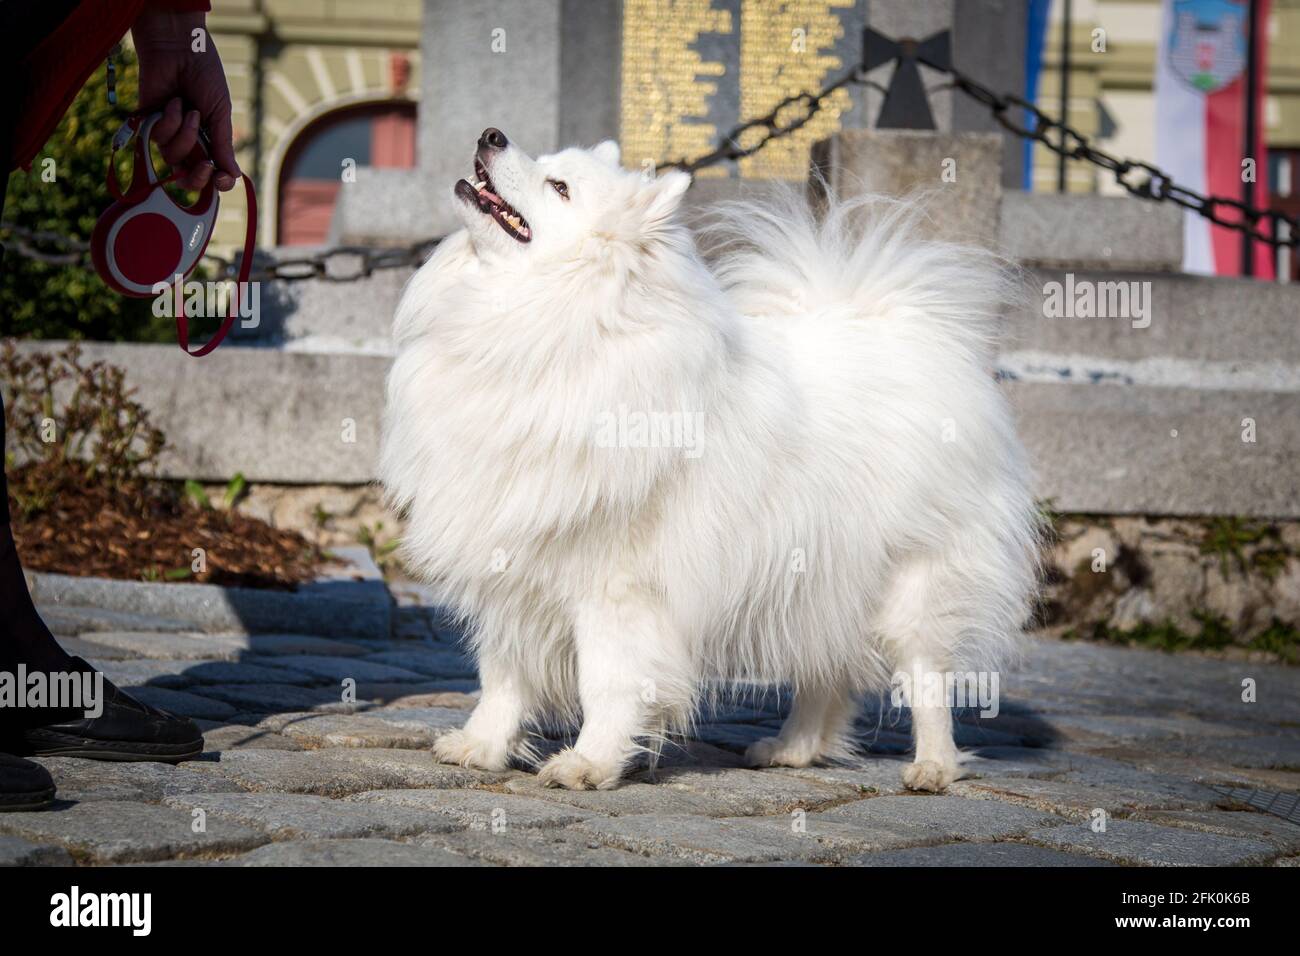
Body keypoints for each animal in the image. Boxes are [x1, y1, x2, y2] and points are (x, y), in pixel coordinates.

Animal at [379, 130, 1040, 796]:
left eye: (559, 186)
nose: (491, 135)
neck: (546, 324)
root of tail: (907, 333)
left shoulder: (616, 587)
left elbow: (607, 682)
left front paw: (590, 763)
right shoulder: (511, 571)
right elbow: (503, 677)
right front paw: (482, 747)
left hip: (908, 582)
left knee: (926, 677)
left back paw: (931, 767)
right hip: (817, 571)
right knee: (825, 669)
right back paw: (794, 749)